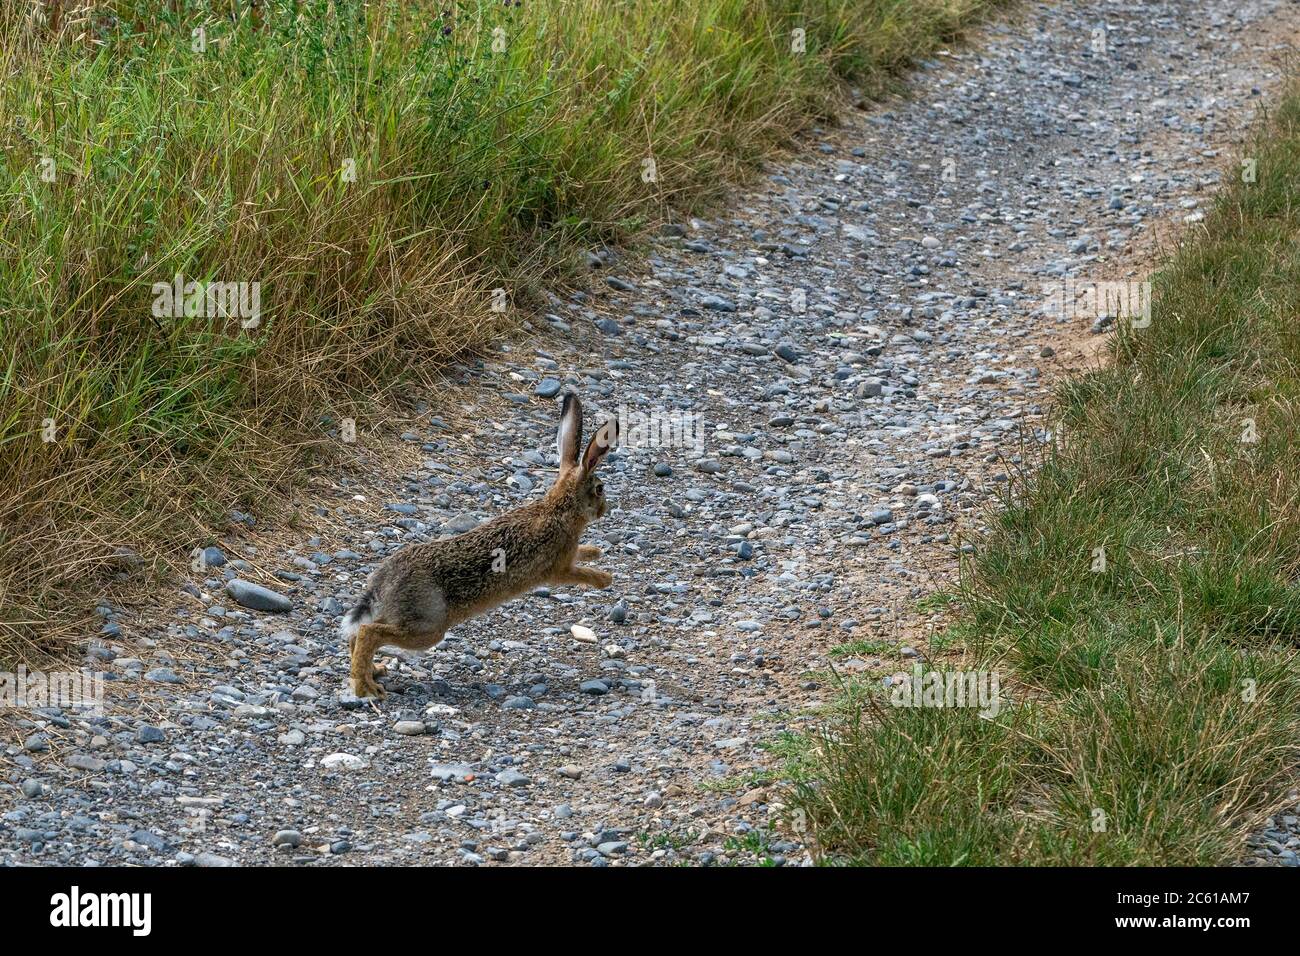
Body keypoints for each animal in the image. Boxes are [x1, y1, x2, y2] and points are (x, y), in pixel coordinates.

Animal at [339, 393, 618, 699]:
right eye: (600, 489)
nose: (604, 510)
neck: (559, 509)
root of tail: (382, 582)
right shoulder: (558, 568)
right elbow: (579, 574)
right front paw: (605, 579)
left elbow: (582, 554)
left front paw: (596, 552)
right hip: (427, 628)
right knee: (368, 632)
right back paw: (365, 687)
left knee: (359, 633)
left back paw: (373, 672)